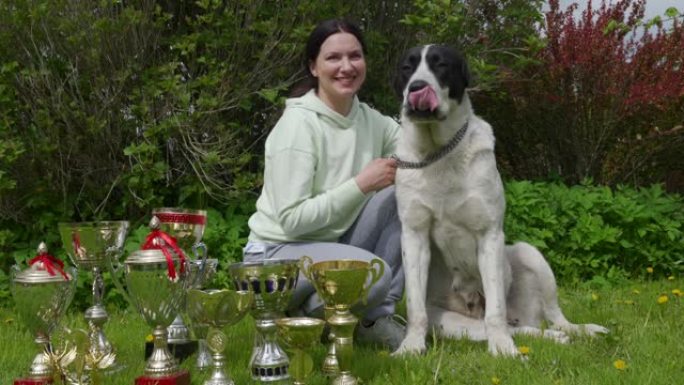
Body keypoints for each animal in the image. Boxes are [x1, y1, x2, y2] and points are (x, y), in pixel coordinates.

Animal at [390, 44, 608, 354]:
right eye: (406, 68)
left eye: (441, 65)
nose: (417, 87)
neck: (439, 152)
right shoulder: (414, 236)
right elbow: (415, 308)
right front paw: (410, 347)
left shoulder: (489, 235)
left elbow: (495, 309)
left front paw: (503, 351)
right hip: (451, 325)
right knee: (514, 328)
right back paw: (549, 338)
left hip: (529, 254)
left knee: (548, 317)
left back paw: (576, 332)